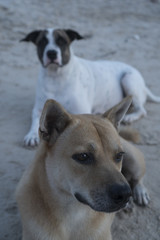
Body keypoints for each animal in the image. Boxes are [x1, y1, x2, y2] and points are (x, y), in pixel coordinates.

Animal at [16, 97, 150, 240]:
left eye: (119, 155)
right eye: (83, 156)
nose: (125, 194)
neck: (73, 214)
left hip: (135, 161)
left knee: (138, 178)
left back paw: (140, 192)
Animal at [21, 27, 160, 145]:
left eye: (62, 41)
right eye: (42, 42)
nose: (51, 53)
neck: (55, 77)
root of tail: (144, 86)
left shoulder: (81, 109)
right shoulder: (39, 109)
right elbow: (36, 122)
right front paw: (32, 135)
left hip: (128, 79)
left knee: (142, 110)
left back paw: (130, 117)